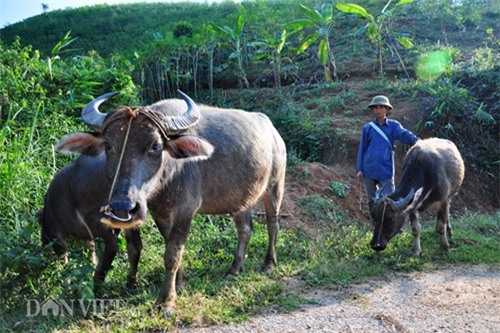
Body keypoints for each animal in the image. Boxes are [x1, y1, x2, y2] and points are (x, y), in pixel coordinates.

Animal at [37, 153, 141, 286]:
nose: (44, 253)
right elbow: (90, 247)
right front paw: (90, 263)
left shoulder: (58, 235)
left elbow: (64, 253)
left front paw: (65, 274)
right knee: (135, 246)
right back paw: (130, 284)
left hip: (97, 218)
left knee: (113, 247)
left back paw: (96, 281)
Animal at [55, 91, 288, 314]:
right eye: (108, 144)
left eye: (155, 146)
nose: (122, 208)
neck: (167, 175)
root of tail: (274, 132)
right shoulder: (160, 213)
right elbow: (170, 245)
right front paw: (180, 283)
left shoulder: (185, 210)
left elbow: (172, 254)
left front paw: (166, 301)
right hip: (241, 198)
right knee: (245, 228)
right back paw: (235, 268)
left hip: (275, 185)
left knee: (272, 224)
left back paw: (268, 263)